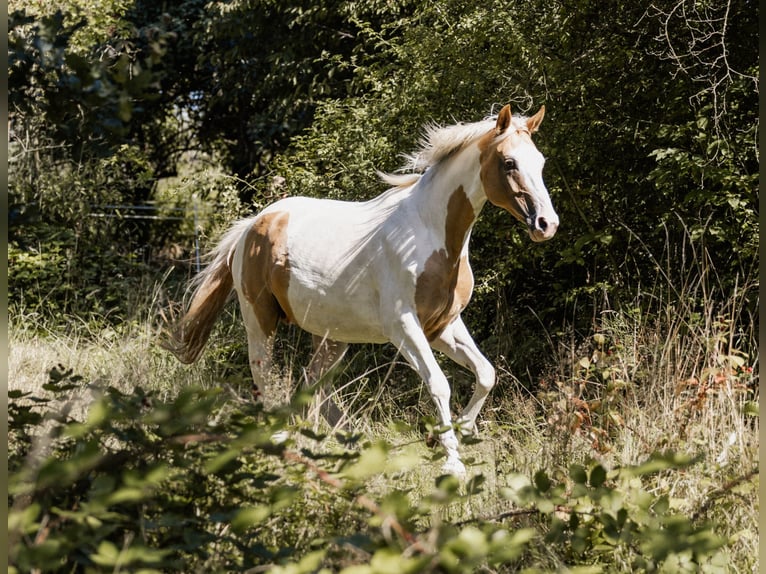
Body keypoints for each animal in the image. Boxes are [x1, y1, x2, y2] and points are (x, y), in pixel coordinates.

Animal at [166, 103, 560, 476]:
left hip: (333, 337)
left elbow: (486, 374)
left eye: (540, 162)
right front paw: (451, 460)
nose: (547, 224)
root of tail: (254, 224)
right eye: (509, 163)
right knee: (264, 376)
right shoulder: (403, 326)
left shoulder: (443, 326)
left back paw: (342, 445)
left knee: (312, 385)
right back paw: (285, 443)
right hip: (260, 320)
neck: (429, 233)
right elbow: (439, 383)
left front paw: (449, 436)